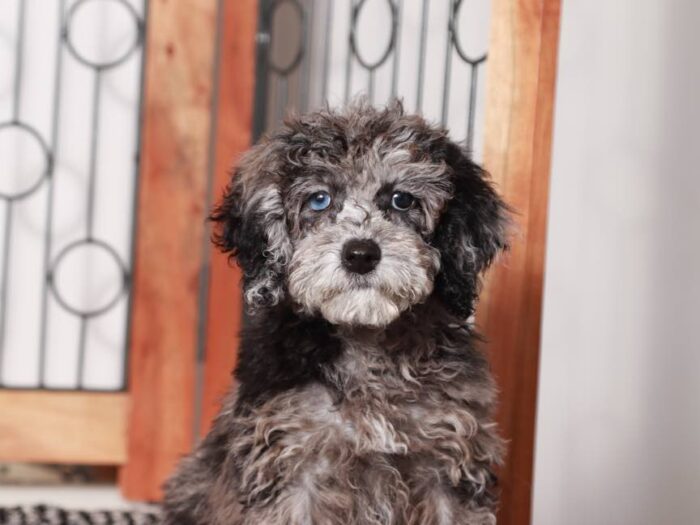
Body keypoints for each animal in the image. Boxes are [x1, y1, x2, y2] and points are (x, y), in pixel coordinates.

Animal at [164, 101, 508, 524]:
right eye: (319, 200)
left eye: (402, 200)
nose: (360, 254)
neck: (365, 342)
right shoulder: (293, 469)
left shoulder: (449, 463)